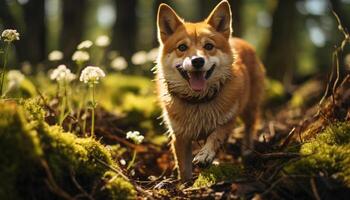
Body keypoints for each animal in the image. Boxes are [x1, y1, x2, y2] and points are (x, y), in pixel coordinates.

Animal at [156, 0, 266, 181]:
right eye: (182, 47)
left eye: (208, 46)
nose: (197, 61)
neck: (198, 101)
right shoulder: (179, 137)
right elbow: (184, 169)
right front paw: (185, 184)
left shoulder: (227, 121)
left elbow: (215, 136)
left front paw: (205, 155)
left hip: (249, 108)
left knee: (250, 126)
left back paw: (247, 151)